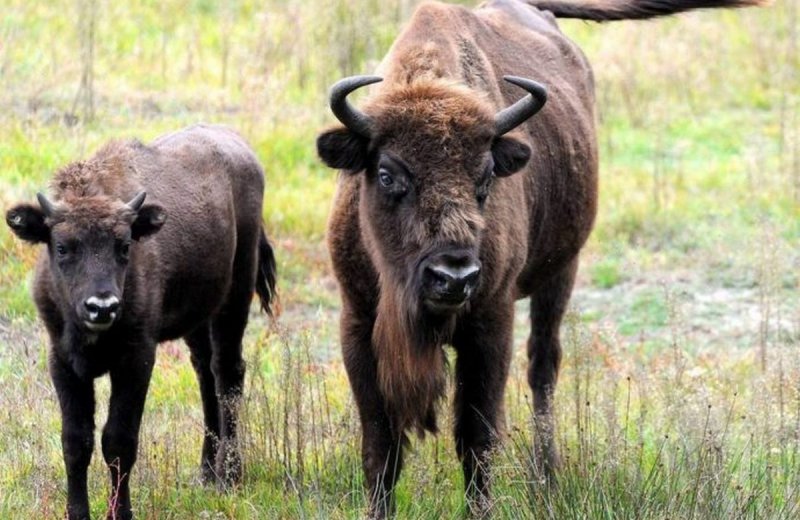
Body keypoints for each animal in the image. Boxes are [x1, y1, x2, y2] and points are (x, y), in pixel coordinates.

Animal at [4, 126, 276, 520]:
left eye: (124, 246)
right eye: (63, 247)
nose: (101, 307)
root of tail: (242, 151)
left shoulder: (136, 360)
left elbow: (118, 441)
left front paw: (121, 512)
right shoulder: (63, 361)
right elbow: (76, 441)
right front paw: (78, 513)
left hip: (235, 297)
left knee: (228, 375)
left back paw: (228, 476)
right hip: (199, 318)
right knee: (205, 373)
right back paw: (206, 473)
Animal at [316, 0, 764, 512]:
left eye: (486, 175)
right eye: (388, 174)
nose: (454, 277)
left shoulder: (491, 323)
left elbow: (476, 438)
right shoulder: (357, 321)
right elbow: (381, 444)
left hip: (561, 273)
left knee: (543, 366)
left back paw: (546, 475)